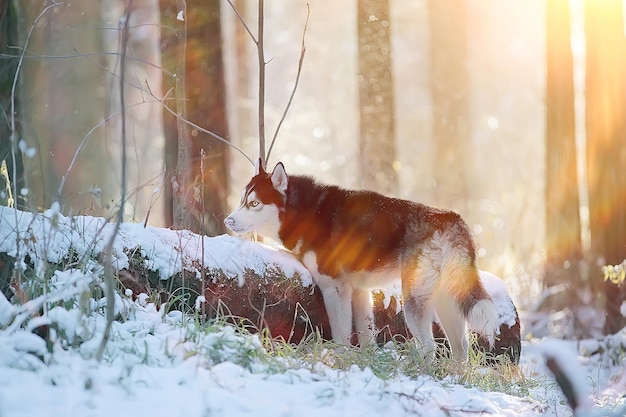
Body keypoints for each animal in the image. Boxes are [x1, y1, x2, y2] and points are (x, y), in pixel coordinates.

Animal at [224, 160, 498, 360]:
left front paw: (340, 358)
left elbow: (341, 334)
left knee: (430, 348)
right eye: (242, 201)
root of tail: (452, 220)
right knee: (461, 348)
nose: (228, 220)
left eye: (254, 203)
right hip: (446, 303)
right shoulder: (358, 291)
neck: (305, 213)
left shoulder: (334, 287)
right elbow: (366, 336)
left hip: (414, 303)